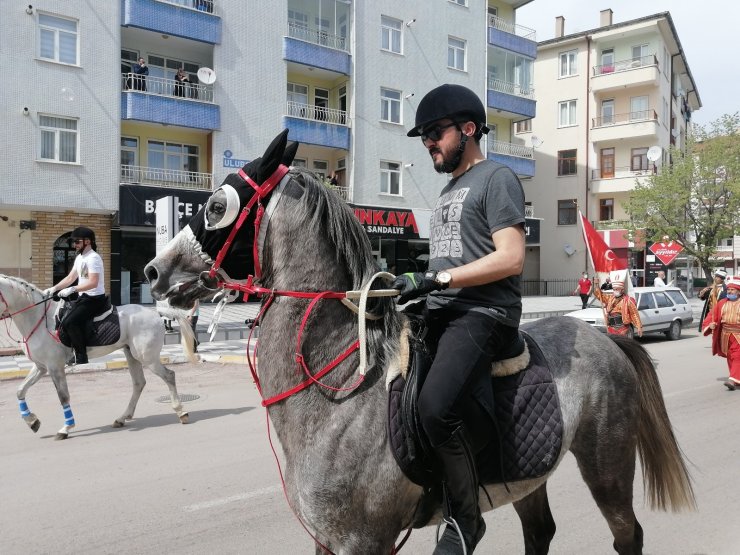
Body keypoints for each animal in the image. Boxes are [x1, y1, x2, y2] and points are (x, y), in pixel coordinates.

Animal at [0, 274, 194, 438]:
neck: (39, 319)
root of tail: (156, 313)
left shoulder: (55, 367)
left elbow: (63, 397)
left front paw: (66, 428)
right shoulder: (41, 367)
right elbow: (20, 390)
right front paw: (32, 422)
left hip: (148, 357)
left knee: (169, 376)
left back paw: (181, 412)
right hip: (132, 354)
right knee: (139, 383)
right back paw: (122, 418)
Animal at [145, 131, 692, 555]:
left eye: (217, 206)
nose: (154, 271)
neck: (337, 386)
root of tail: (604, 337)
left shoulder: (364, 540)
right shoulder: (328, 540)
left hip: (607, 466)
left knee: (627, 535)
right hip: (527, 473)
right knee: (541, 532)